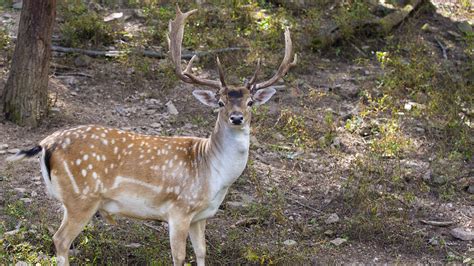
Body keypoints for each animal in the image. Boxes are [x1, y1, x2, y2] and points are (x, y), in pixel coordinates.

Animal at [6, 5, 296, 264]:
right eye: (220, 102)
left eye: (250, 102)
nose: (236, 118)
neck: (213, 175)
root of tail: (45, 143)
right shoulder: (179, 209)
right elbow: (179, 257)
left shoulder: (201, 216)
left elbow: (202, 253)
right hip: (81, 197)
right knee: (60, 240)